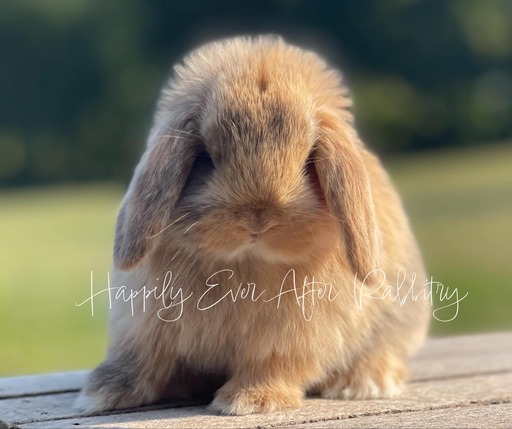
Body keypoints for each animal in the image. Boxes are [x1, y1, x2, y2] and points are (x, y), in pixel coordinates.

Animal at [74, 34, 430, 414]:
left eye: (308, 160)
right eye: (206, 157)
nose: (257, 218)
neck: (246, 263)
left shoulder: (290, 338)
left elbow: (270, 364)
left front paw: (249, 400)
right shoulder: (144, 325)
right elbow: (141, 360)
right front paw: (102, 393)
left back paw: (363, 382)